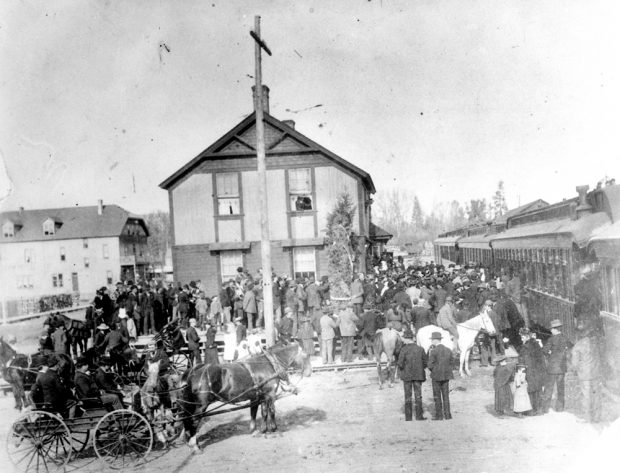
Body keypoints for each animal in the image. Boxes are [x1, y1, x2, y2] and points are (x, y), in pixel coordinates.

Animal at [176, 342, 310, 450]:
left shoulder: (259, 397)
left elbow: (259, 412)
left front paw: (259, 431)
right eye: (307, 355)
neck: (269, 363)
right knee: (194, 419)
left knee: (187, 418)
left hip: (190, 403)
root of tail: (194, 370)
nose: (310, 372)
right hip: (201, 405)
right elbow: (271, 412)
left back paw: (190, 441)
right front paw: (274, 430)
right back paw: (194, 445)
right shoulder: (270, 394)